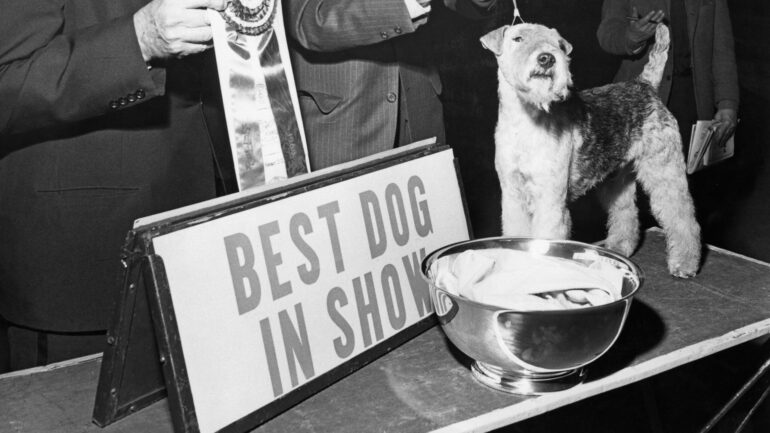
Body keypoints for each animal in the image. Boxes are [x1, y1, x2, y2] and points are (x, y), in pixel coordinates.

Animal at [484, 22, 700, 276]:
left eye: (556, 43)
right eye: (517, 39)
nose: (547, 58)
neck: (525, 122)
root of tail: (644, 85)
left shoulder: (550, 201)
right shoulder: (513, 196)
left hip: (663, 168)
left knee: (682, 215)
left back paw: (684, 263)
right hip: (616, 178)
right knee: (626, 211)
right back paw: (619, 247)